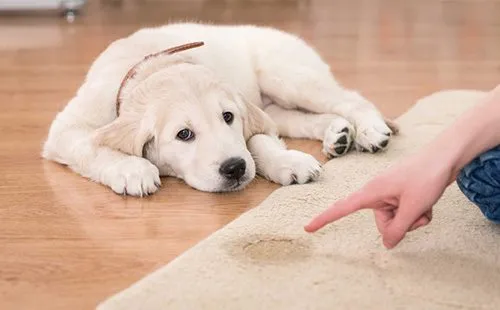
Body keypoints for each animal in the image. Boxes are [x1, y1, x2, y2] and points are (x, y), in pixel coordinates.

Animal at [41, 22, 396, 196]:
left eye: (228, 117)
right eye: (184, 134)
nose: (235, 168)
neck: (153, 65)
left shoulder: (247, 114)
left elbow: (257, 141)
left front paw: (286, 161)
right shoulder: (66, 129)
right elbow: (92, 146)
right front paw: (132, 169)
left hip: (287, 76)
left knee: (351, 99)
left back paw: (369, 130)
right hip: (276, 105)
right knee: (299, 119)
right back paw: (338, 134)